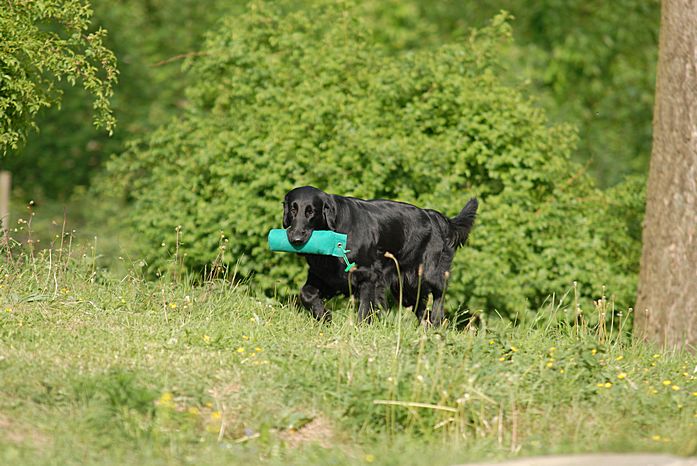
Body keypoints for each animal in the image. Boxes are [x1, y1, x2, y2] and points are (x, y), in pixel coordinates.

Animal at [283, 186, 478, 325]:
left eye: (311, 212)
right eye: (293, 210)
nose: (296, 238)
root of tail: (433, 216)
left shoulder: (368, 276)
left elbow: (363, 310)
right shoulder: (324, 276)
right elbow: (306, 294)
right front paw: (324, 316)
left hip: (427, 273)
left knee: (440, 290)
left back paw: (437, 319)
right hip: (406, 288)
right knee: (422, 309)